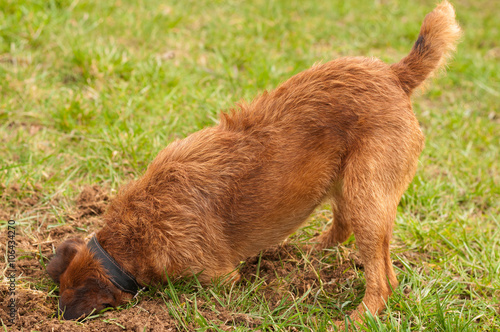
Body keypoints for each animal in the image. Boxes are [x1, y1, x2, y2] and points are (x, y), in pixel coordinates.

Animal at [47, 0, 460, 324]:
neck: (136, 230)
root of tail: (394, 74)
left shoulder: (216, 277)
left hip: (367, 195)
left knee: (384, 279)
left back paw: (357, 318)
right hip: (349, 184)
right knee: (343, 229)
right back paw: (302, 254)